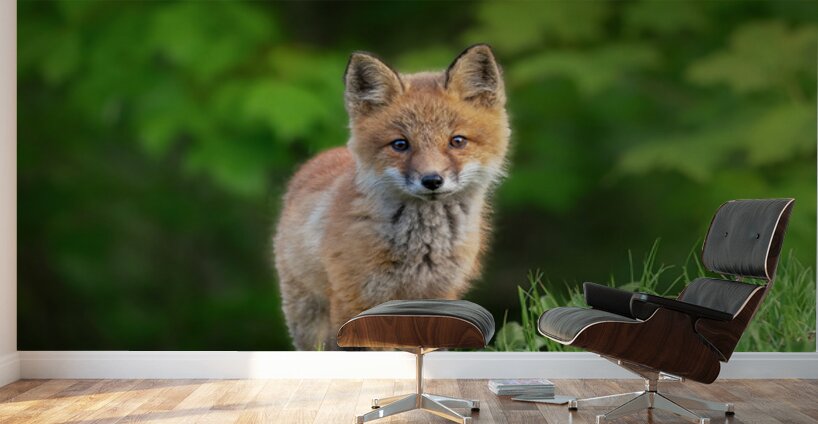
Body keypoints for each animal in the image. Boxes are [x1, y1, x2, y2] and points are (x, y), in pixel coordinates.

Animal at [273, 44, 511, 350]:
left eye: (457, 141)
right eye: (400, 144)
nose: (432, 180)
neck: (422, 251)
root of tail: (322, 156)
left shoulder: (440, 295)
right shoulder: (355, 299)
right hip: (306, 314)